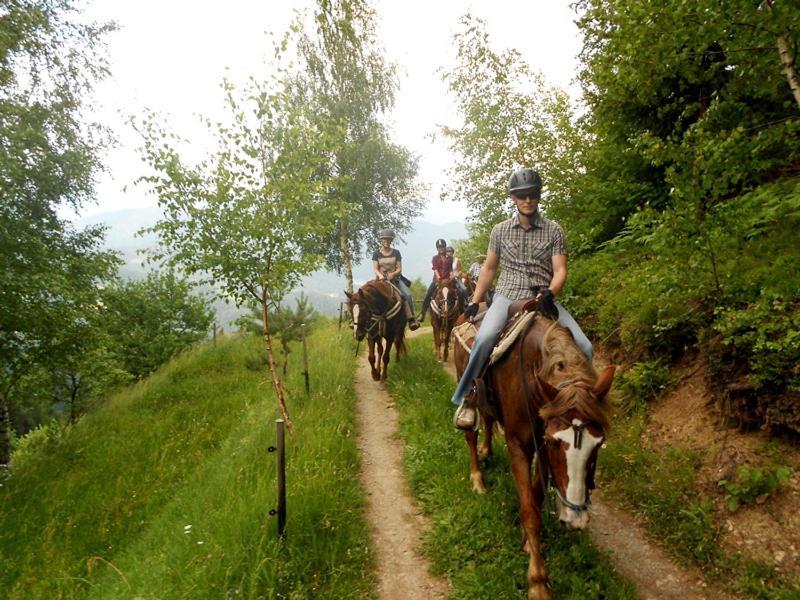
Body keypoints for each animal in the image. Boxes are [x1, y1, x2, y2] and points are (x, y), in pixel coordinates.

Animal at [454, 310, 616, 600]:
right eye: (554, 442)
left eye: (598, 444)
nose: (575, 519)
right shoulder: (522, 445)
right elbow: (530, 509)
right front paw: (538, 581)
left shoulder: (540, 449)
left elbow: (536, 497)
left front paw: (528, 543)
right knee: (471, 432)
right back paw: (477, 479)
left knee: (487, 418)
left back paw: (486, 451)